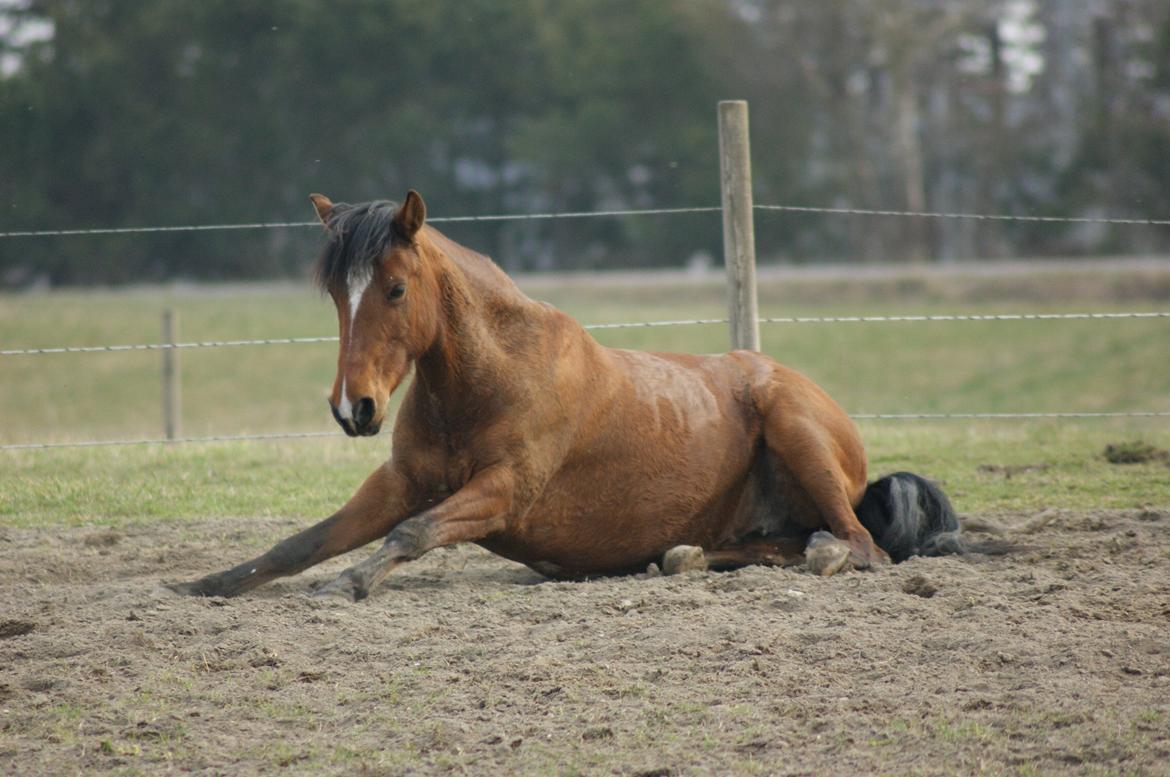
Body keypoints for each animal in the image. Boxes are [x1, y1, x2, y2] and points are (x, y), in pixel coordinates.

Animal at [170, 189, 959, 599]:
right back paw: (683, 557)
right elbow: (297, 543)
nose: (352, 409)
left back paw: (820, 553)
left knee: (858, 547)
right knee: (764, 547)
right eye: (338, 293)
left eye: (394, 289)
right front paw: (201, 585)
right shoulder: (400, 482)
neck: (488, 381)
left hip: (795, 427)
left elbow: (410, 534)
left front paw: (355, 579)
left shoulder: (503, 492)